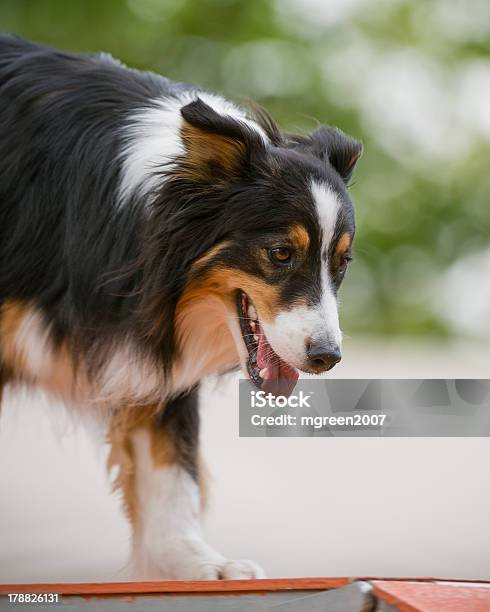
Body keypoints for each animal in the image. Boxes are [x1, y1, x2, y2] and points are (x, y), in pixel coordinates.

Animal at [0, 35, 360, 580]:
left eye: (342, 262)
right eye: (280, 253)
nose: (326, 358)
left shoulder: (153, 345)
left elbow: (173, 468)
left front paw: (204, 565)